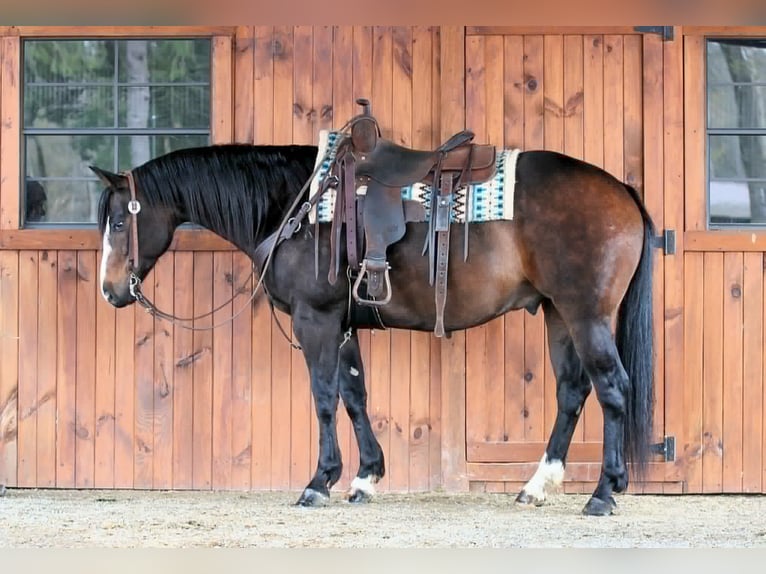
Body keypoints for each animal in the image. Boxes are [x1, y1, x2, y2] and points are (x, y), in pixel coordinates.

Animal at [93, 134, 655, 517]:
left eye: (119, 222)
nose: (110, 290)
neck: (294, 204)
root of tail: (621, 189)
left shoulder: (315, 319)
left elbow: (323, 397)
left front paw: (319, 482)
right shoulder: (342, 325)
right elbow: (354, 394)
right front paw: (365, 477)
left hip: (585, 314)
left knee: (612, 388)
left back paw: (604, 493)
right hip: (559, 313)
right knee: (572, 391)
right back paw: (538, 485)